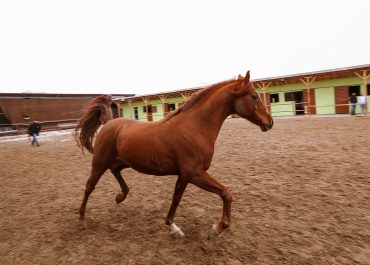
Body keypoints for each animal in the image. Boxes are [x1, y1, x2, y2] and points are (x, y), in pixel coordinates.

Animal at [75, 70, 274, 237]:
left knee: (115, 171)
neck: (195, 127)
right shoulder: (193, 173)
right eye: (254, 96)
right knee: (89, 186)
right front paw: (216, 229)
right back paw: (82, 216)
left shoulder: (185, 175)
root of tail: (108, 122)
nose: (270, 122)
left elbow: (176, 198)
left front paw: (173, 227)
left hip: (124, 161)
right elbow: (225, 194)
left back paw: (120, 196)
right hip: (100, 162)